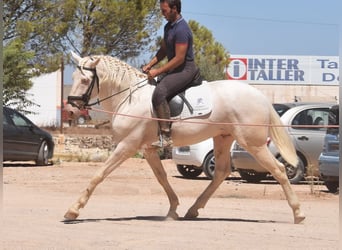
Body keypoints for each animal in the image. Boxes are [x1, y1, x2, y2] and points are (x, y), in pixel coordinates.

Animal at [63, 51, 304, 224]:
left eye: (85, 80)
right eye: (73, 77)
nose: (71, 110)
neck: (130, 98)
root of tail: (259, 95)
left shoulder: (127, 145)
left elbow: (99, 174)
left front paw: (73, 210)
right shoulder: (148, 149)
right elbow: (162, 178)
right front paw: (172, 210)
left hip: (252, 143)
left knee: (278, 169)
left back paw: (298, 213)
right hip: (223, 137)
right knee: (221, 172)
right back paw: (193, 210)